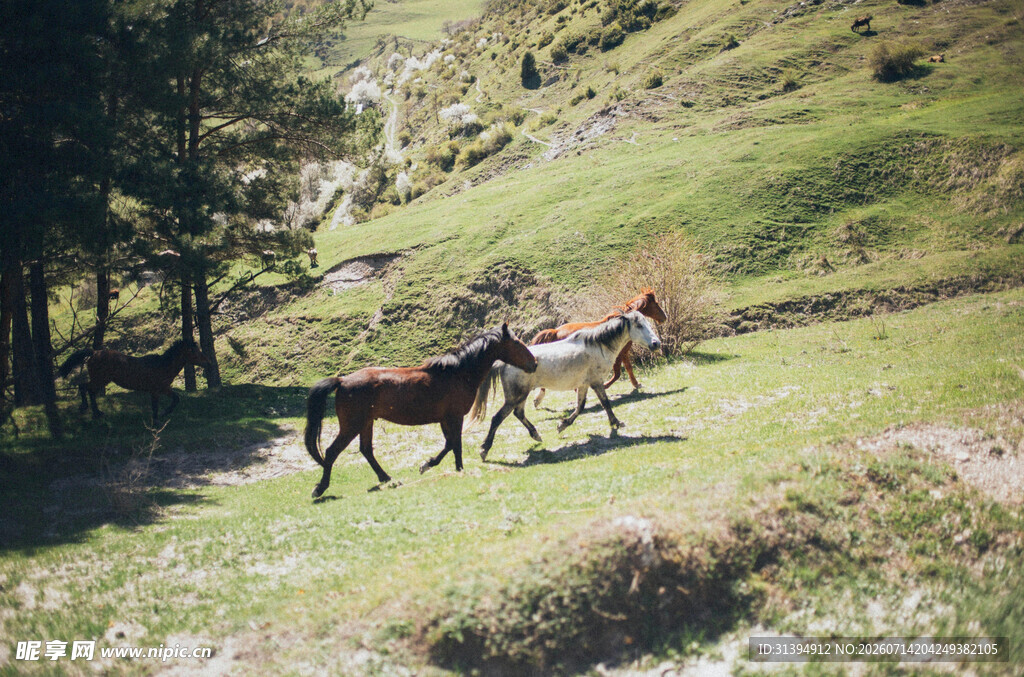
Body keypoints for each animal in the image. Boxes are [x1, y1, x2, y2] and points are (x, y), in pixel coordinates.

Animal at [58, 339, 211, 422]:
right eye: (193, 351)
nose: (207, 362)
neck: (162, 365)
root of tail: (94, 352)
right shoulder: (156, 390)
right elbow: (156, 406)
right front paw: (157, 419)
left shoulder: (163, 389)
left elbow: (176, 399)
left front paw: (163, 414)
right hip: (101, 379)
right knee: (86, 388)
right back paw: (92, 411)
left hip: (101, 379)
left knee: (86, 388)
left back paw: (94, 412)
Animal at [303, 322, 537, 498]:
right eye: (516, 343)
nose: (534, 363)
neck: (458, 373)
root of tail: (342, 381)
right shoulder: (454, 417)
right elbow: (456, 445)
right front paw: (454, 468)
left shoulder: (445, 419)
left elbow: (450, 444)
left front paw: (429, 464)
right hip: (352, 425)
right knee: (332, 451)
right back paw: (320, 488)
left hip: (366, 423)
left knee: (366, 450)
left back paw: (386, 478)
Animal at [468, 311, 661, 460]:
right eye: (639, 325)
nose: (656, 343)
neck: (598, 346)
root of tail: (503, 362)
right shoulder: (596, 382)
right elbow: (605, 403)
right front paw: (617, 423)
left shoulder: (584, 384)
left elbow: (580, 407)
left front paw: (562, 425)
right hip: (516, 396)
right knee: (498, 418)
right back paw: (484, 450)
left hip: (521, 395)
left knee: (518, 413)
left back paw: (536, 435)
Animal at [530, 288, 667, 407]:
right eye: (656, 304)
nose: (664, 317)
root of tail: (555, 331)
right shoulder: (619, 354)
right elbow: (618, 373)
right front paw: (607, 385)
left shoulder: (622, 353)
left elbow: (627, 368)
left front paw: (636, 384)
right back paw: (539, 398)